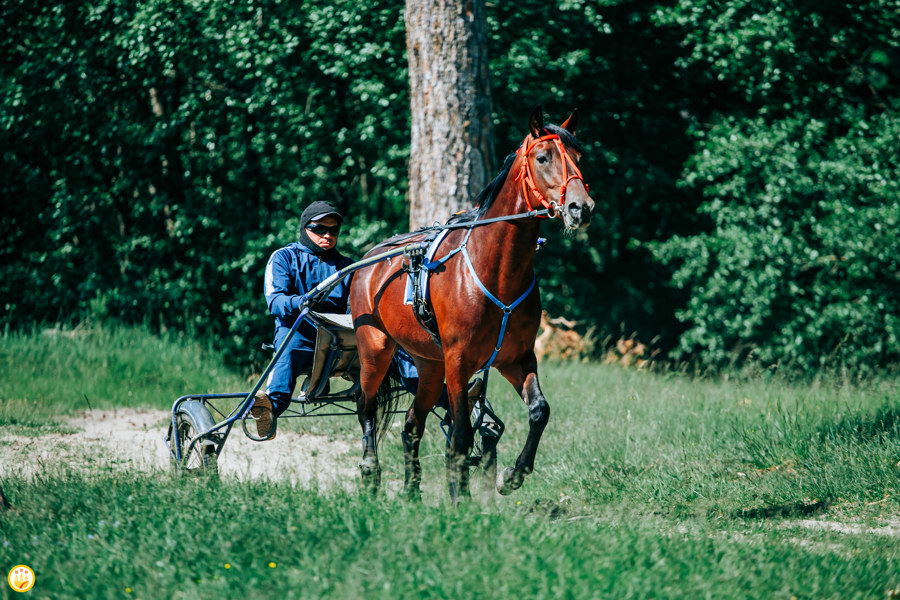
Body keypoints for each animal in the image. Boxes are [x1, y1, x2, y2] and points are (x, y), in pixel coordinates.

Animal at [348, 108, 596, 502]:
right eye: (543, 158)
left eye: (579, 157)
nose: (580, 207)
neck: (495, 271)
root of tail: (370, 259)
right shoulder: (459, 361)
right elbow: (462, 431)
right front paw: (461, 495)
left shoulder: (516, 358)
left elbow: (539, 411)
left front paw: (513, 474)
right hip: (375, 348)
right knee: (366, 406)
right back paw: (371, 471)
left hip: (429, 364)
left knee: (411, 424)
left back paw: (412, 491)